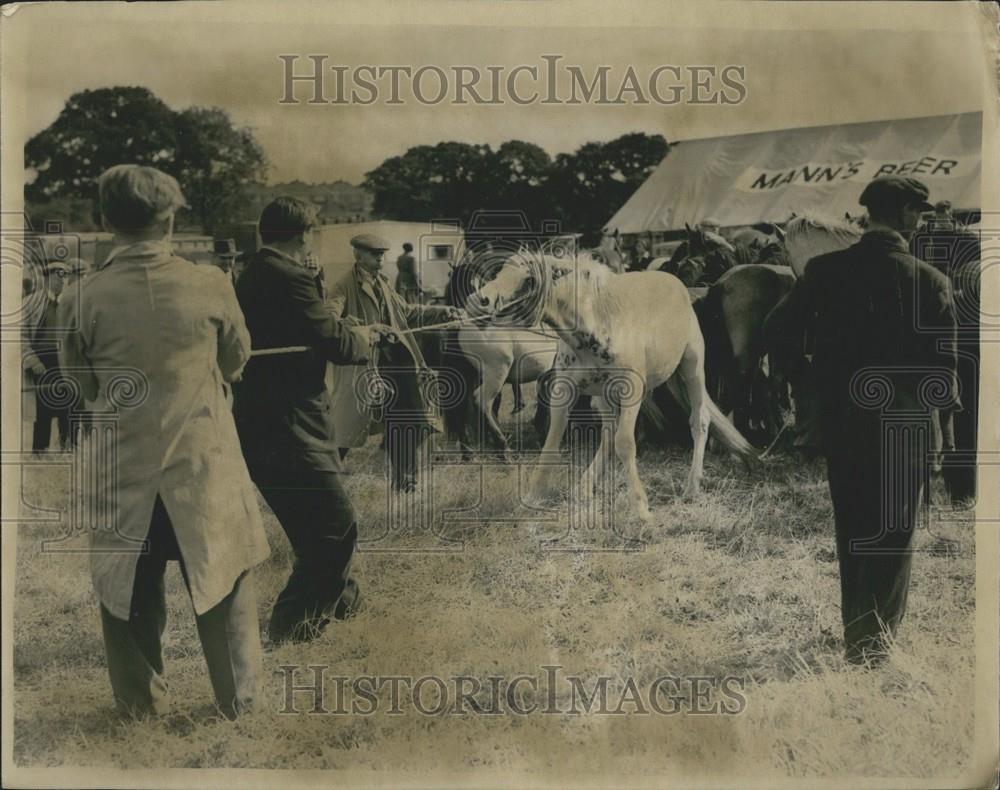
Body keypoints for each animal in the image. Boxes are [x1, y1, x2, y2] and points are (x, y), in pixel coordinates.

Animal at [472, 254, 752, 524]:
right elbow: (552, 443)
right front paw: (533, 495)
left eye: (529, 279)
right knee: (608, 434)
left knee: (699, 420)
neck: (596, 324)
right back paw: (585, 487)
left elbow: (625, 443)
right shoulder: (564, 390)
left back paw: (692, 488)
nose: (481, 299)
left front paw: (641, 508)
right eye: (500, 271)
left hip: (692, 367)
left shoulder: (633, 390)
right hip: (604, 396)